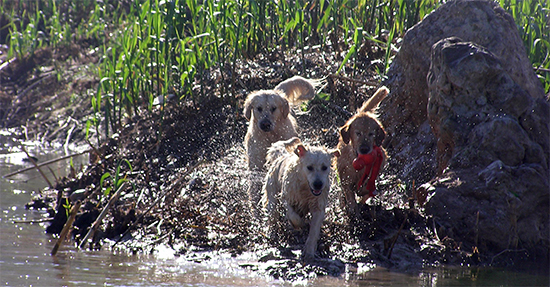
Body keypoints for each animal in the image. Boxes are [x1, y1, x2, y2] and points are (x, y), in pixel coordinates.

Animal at [338, 86, 390, 222]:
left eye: (371, 134)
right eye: (358, 133)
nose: (365, 149)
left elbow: (366, 188)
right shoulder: (345, 178)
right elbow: (350, 194)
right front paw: (353, 210)